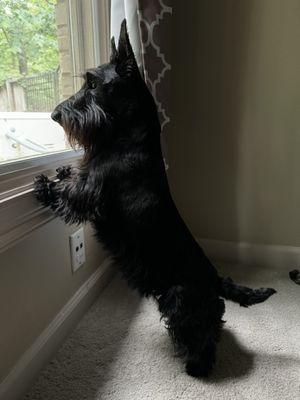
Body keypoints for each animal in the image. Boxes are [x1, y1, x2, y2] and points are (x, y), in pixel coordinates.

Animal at [33, 20, 276, 378]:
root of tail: (214, 278)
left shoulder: (91, 192)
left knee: (202, 330)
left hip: (180, 300)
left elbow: (70, 193)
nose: (54, 114)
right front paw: (60, 170)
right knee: (216, 319)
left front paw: (42, 185)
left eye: (92, 82)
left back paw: (198, 365)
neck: (128, 135)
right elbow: (72, 177)